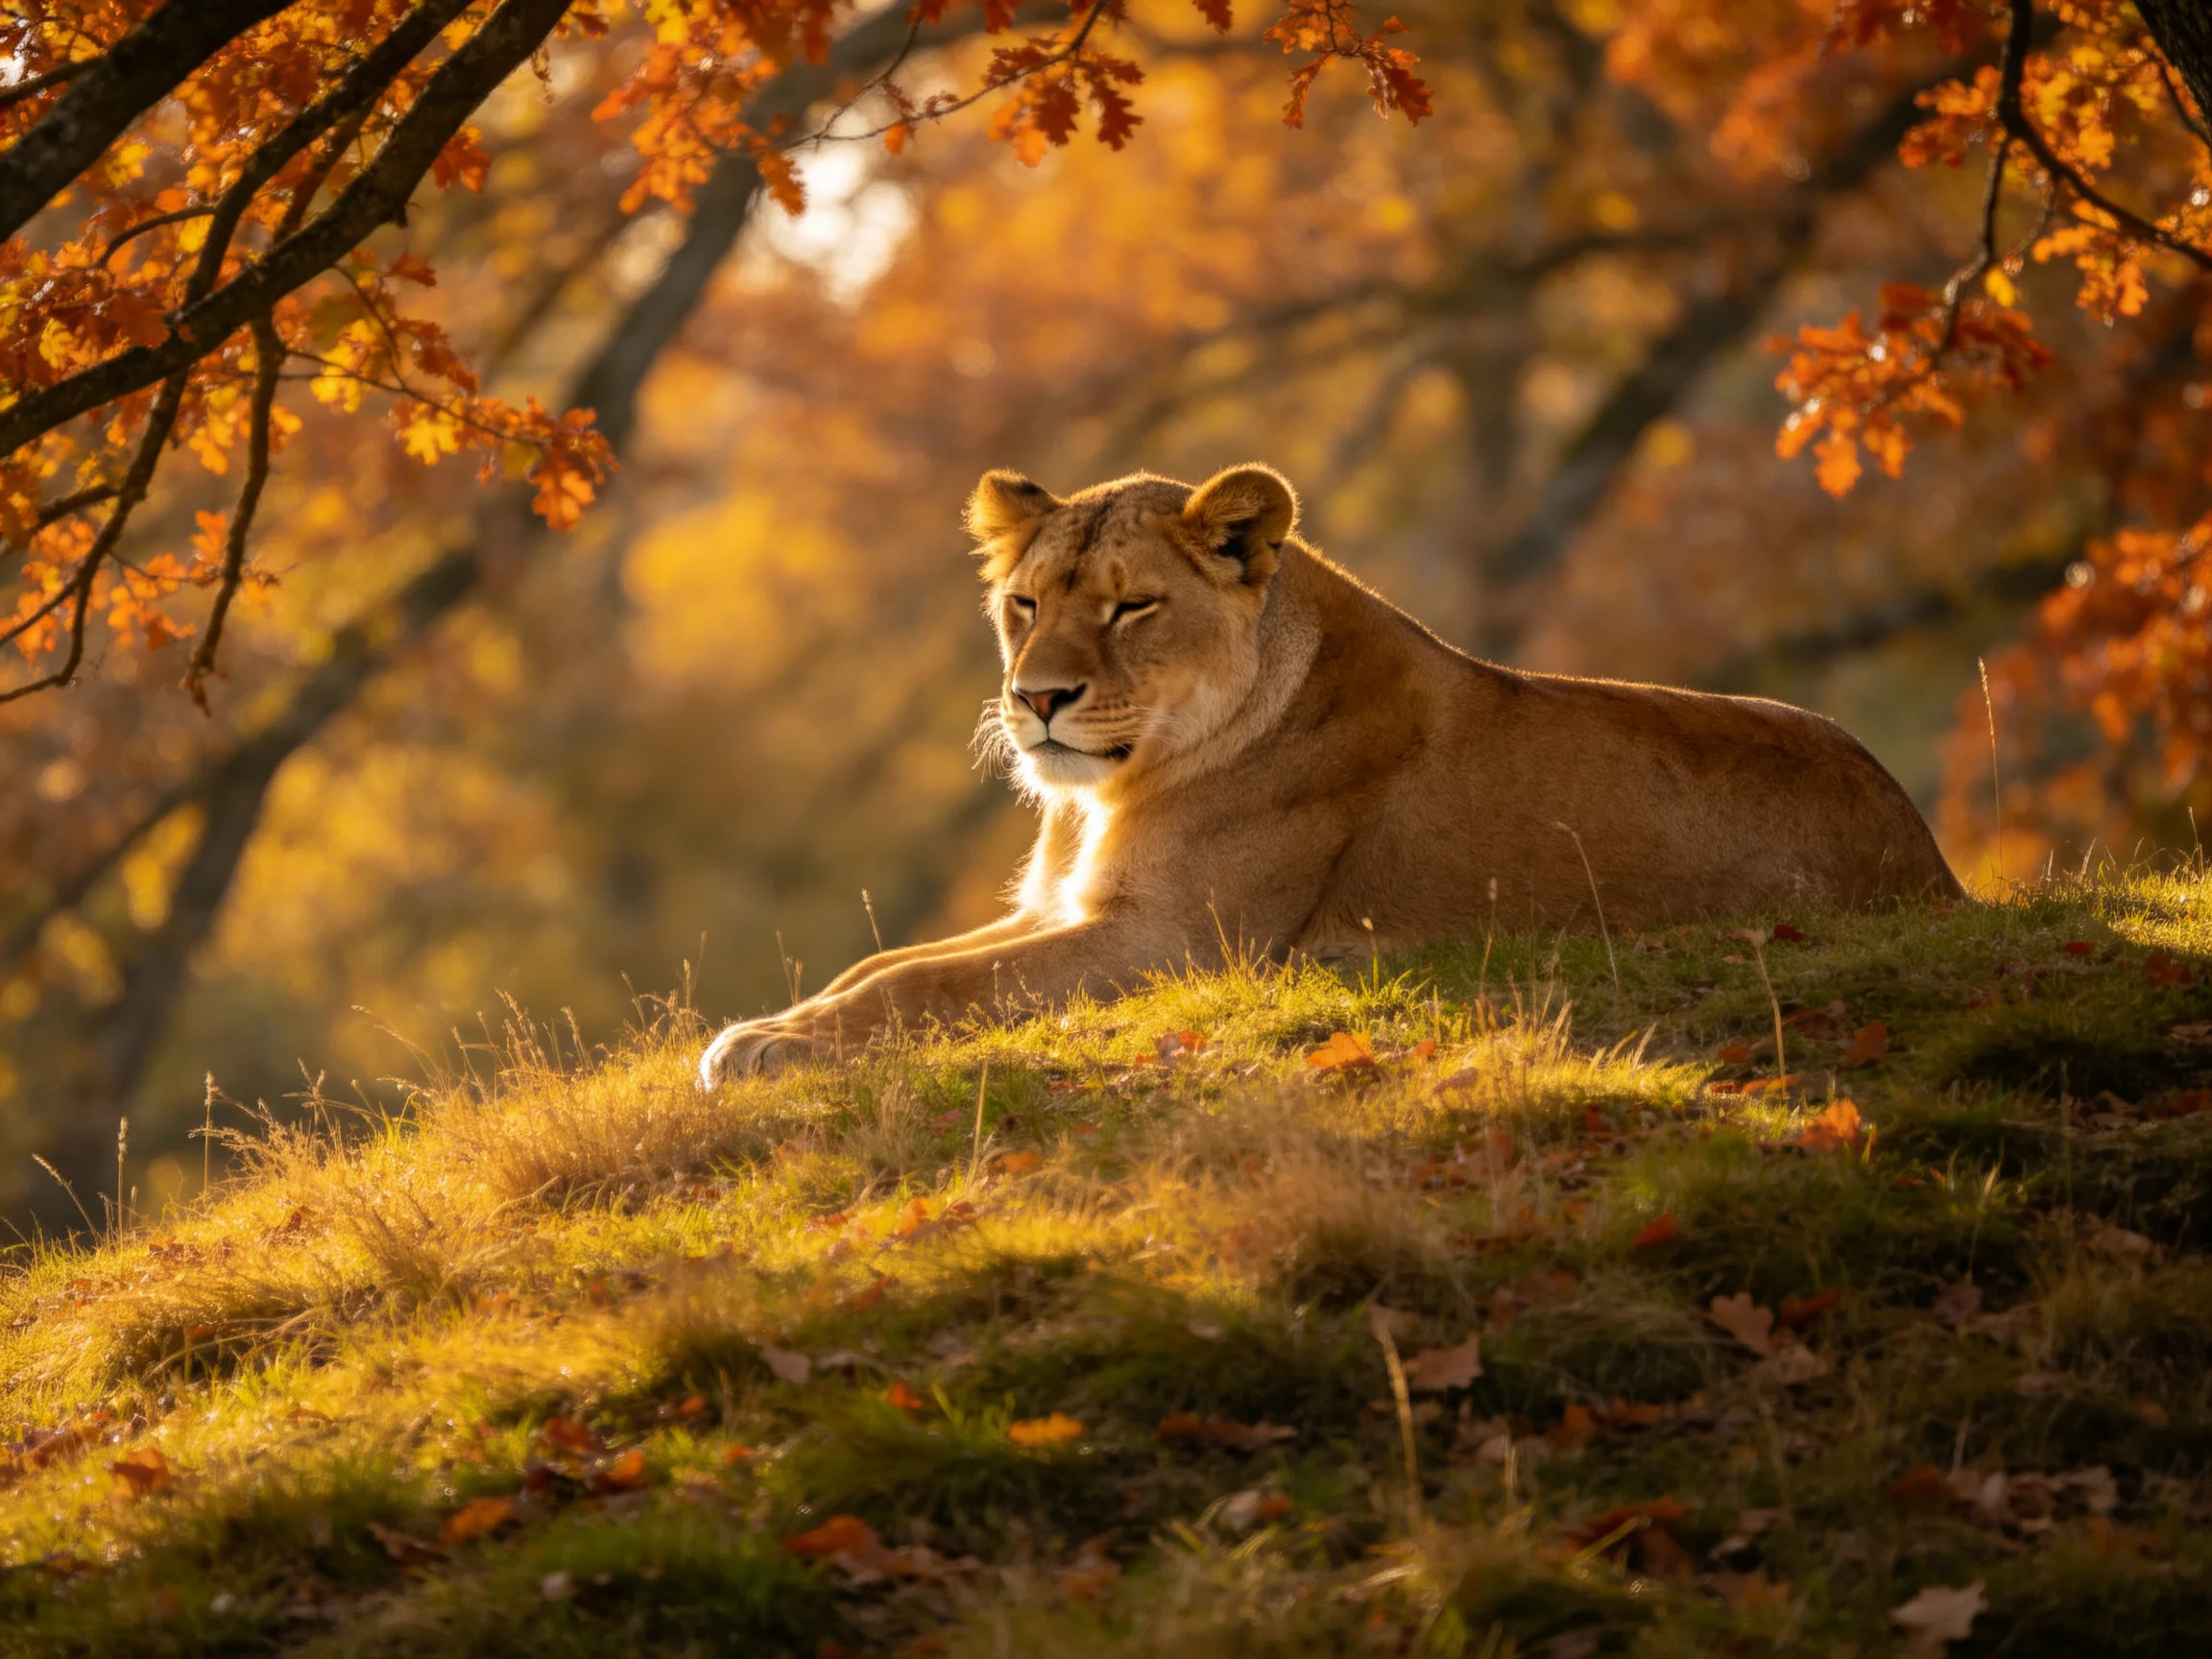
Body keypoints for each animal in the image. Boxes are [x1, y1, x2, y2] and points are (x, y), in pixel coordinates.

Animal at [700, 463, 1962, 1082]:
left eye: (1131, 607)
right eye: (1024, 604)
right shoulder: (1070, 907)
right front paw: (767, 1024)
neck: (1112, 792)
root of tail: (1937, 865)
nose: (1037, 699)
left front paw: (769, 1049)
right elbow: (887, 963)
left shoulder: (1173, 945)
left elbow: (931, 989)